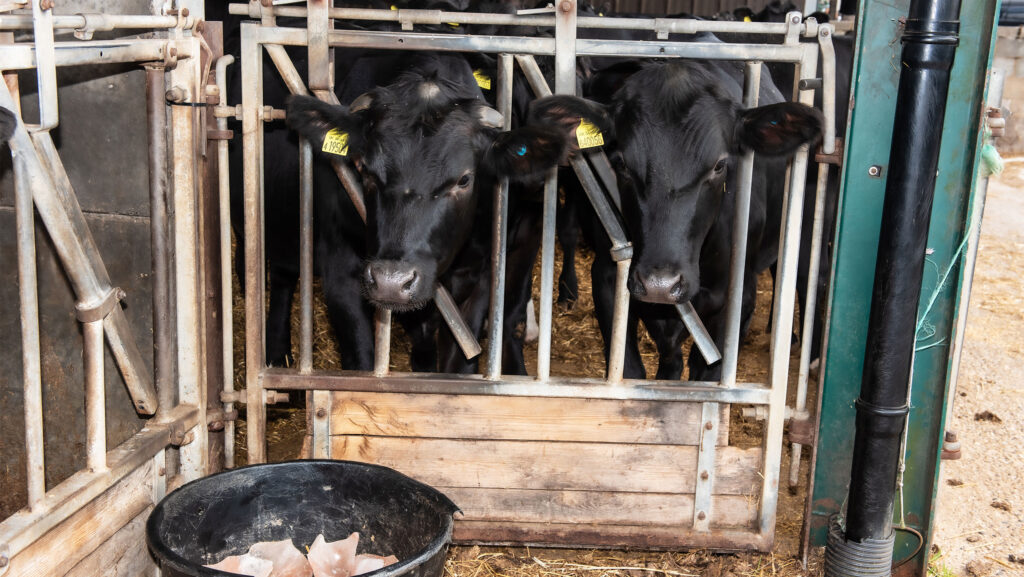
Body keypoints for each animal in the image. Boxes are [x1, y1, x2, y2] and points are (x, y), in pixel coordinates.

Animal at [530, 56, 822, 381]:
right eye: (621, 163)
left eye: (720, 165)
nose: (660, 284)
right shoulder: (607, 277)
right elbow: (630, 371)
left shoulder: (737, 299)